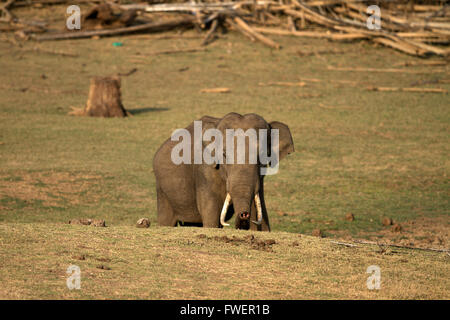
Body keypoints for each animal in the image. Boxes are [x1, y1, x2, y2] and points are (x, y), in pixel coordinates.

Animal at [153, 112, 296, 230]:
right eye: (224, 155)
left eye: (262, 155)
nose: (244, 215)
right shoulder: (205, 171)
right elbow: (211, 216)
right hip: (162, 190)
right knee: (166, 219)